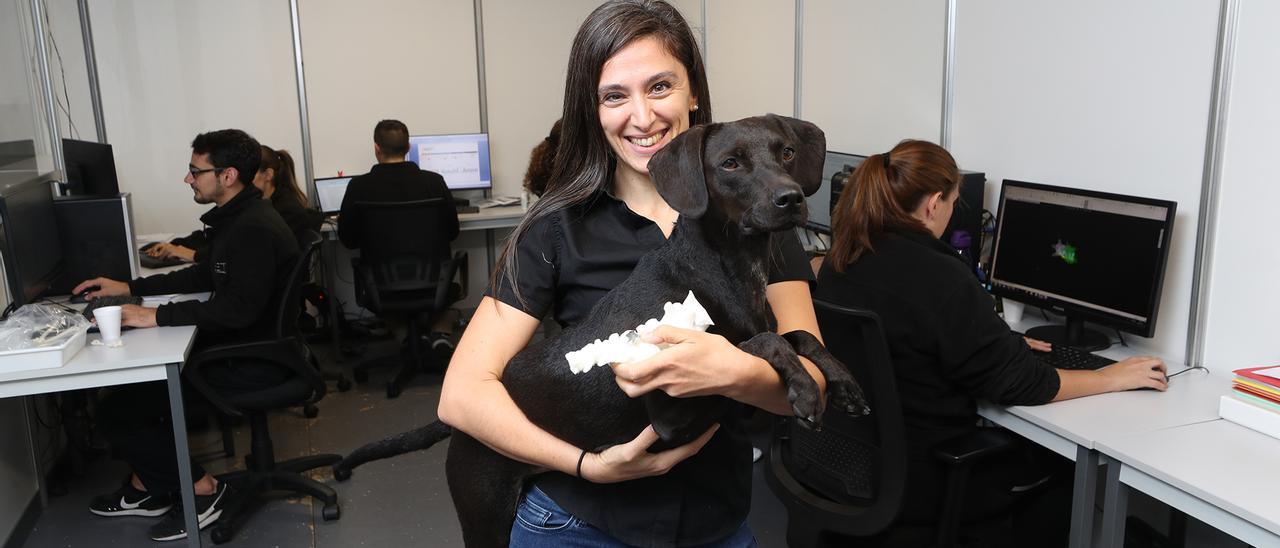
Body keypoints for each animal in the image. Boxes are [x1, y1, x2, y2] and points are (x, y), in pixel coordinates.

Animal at [335, 114, 865, 542]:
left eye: (787, 152)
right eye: (731, 163)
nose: (790, 198)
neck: (730, 266)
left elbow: (799, 336)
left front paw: (842, 381)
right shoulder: (674, 412)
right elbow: (759, 342)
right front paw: (803, 387)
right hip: (484, 514)